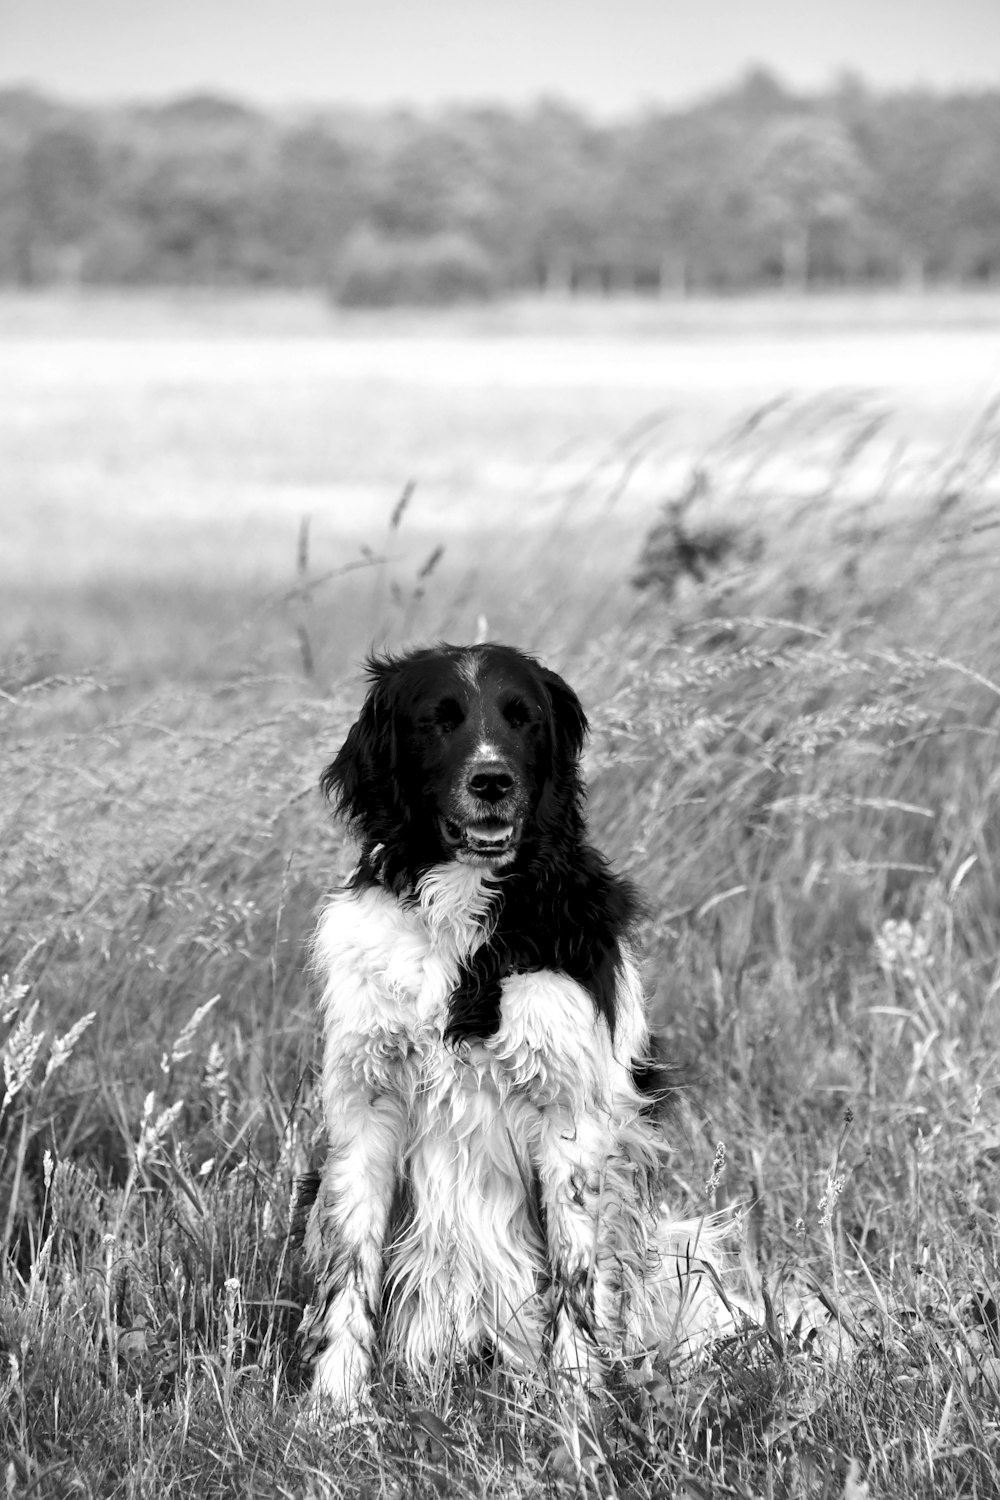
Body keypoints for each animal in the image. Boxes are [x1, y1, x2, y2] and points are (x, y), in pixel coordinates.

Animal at [301, 642, 740, 1404]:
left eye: (523, 717)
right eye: (438, 719)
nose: (491, 781)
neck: (462, 916)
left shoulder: (571, 1118)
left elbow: (575, 1279)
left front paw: (576, 1408)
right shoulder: (365, 1105)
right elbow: (350, 1271)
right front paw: (337, 1405)